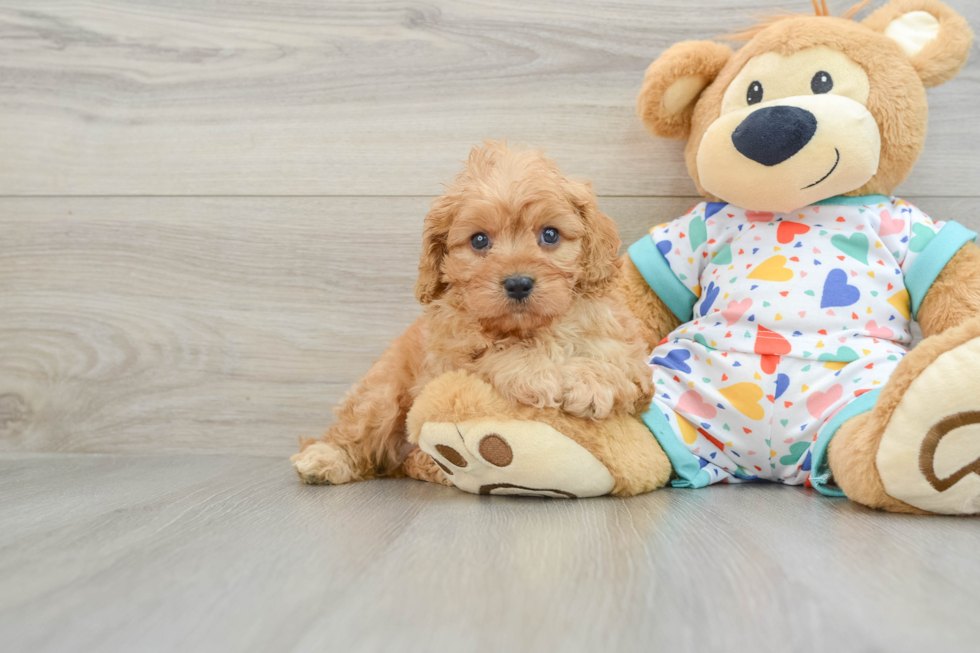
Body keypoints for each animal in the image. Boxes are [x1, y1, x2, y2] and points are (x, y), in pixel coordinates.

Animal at [294, 141, 656, 484]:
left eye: (550, 234)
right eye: (479, 240)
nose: (518, 283)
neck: (531, 329)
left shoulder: (627, 354)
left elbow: (614, 363)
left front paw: (590, 383)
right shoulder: (449, 356)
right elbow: (493, 354)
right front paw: (539, 374)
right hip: (382, 394)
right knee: (355, 433)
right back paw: (325, 459)